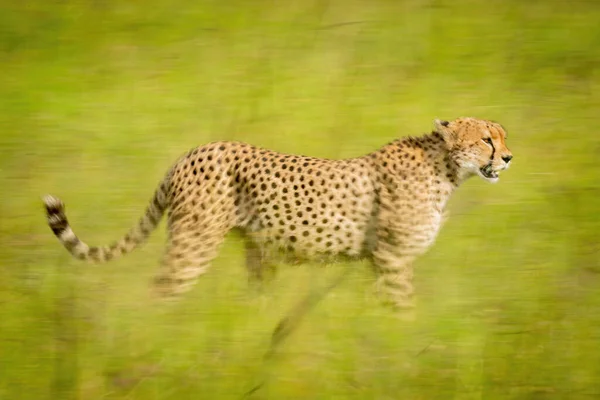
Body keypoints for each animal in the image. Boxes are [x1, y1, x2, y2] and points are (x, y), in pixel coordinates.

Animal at [43, 117, 510, 308]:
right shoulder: (393, 258)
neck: (446, 168)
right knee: (160, 292)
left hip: (257, 250)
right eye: (486, 139)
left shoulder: (381, 261)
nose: (508, 158)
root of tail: (192, 151)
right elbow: (403, 308)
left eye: (503, 137)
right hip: (194, 241)